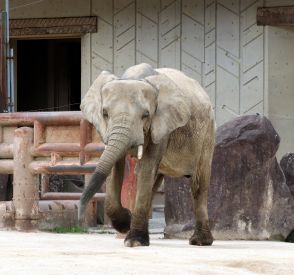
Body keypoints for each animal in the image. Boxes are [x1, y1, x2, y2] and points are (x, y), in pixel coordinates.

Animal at [79, 63, 215, 248]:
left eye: (145, 115)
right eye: (105, 113)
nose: (79, 216)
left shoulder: (162, 124)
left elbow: (146, 167)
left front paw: (134, 240)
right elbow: (116, 168)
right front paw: (126, 223)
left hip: (208, 131)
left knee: (199, 183)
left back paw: (200, 242)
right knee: (154, 181)